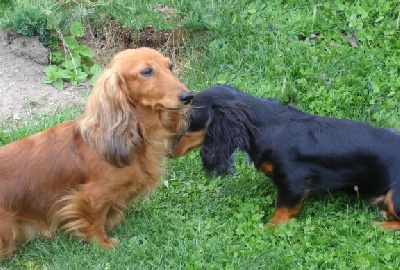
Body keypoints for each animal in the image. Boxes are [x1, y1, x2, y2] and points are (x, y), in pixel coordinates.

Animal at [173, 85, 400, 230]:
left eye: (189, 121)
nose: (169, 151)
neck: (267, 125)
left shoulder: (293, 180)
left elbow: (282, 209)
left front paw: (270, 228)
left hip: (395, 195)